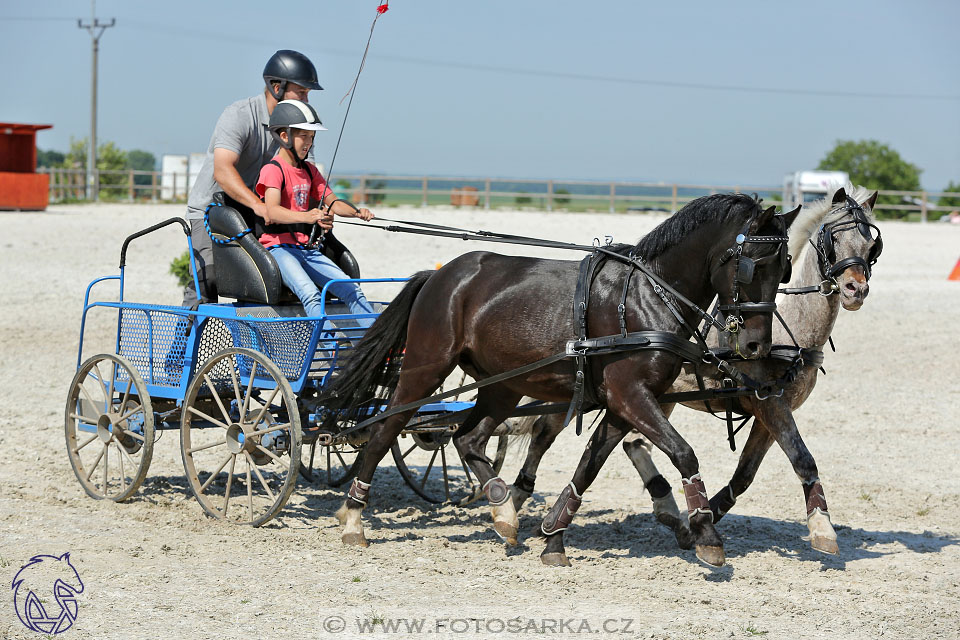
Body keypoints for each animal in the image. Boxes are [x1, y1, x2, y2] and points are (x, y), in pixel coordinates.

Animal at [320, 192, 796, 568]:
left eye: (785, 270)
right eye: (753, 267)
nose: (755, 345)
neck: (649, 297)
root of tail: (439, 275)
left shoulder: (622, 403)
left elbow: (588, 467)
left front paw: (554, 538)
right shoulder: (629, 395)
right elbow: (684, 453)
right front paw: (707, 535)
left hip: (503, 385)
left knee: (468, 438)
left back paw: (503, 513)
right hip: (425, 367)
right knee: (386, 431)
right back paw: (354, 519)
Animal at [510, 182, 884, 556]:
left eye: (872, 245)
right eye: (832, 238)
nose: (855, 289)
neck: (789, 326)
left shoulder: (773, 406)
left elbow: (749, 473)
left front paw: (703, 521)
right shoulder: (768, 402)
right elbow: (801, 459)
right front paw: (822, 527)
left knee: (632, 443)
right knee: (544, 432)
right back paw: (511, 504)